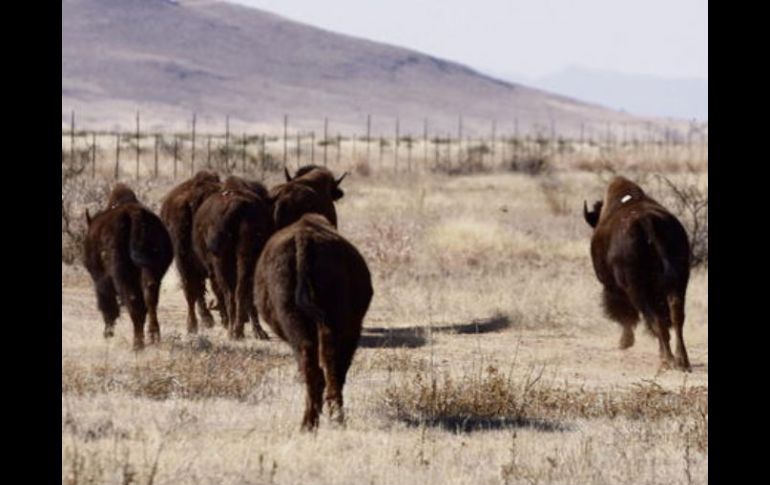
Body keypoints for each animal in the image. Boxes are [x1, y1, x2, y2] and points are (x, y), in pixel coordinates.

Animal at [85, 183, 173, 350]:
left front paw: (108, 334)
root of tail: (135, 215)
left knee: (134, 303)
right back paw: (153, 336)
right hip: (154, 271)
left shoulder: (101, 280)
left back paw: (137, 345)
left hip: (122, 275)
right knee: (150, 298)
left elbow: (108, 306)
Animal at [192, 176, 272, 338]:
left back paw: (232, 329)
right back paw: (247, 330)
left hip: (220, 262)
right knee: (242, 291)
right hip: (247, 258)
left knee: (229, 293)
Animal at [584, 178, 688, 370]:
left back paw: (667, 360)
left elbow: (626, 315)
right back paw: (682, 361)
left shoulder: (612, 287)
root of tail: (647, 221)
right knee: (676, 317)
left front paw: (624, 342)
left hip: (635, 288)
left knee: (655, 319)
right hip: (679, 282)